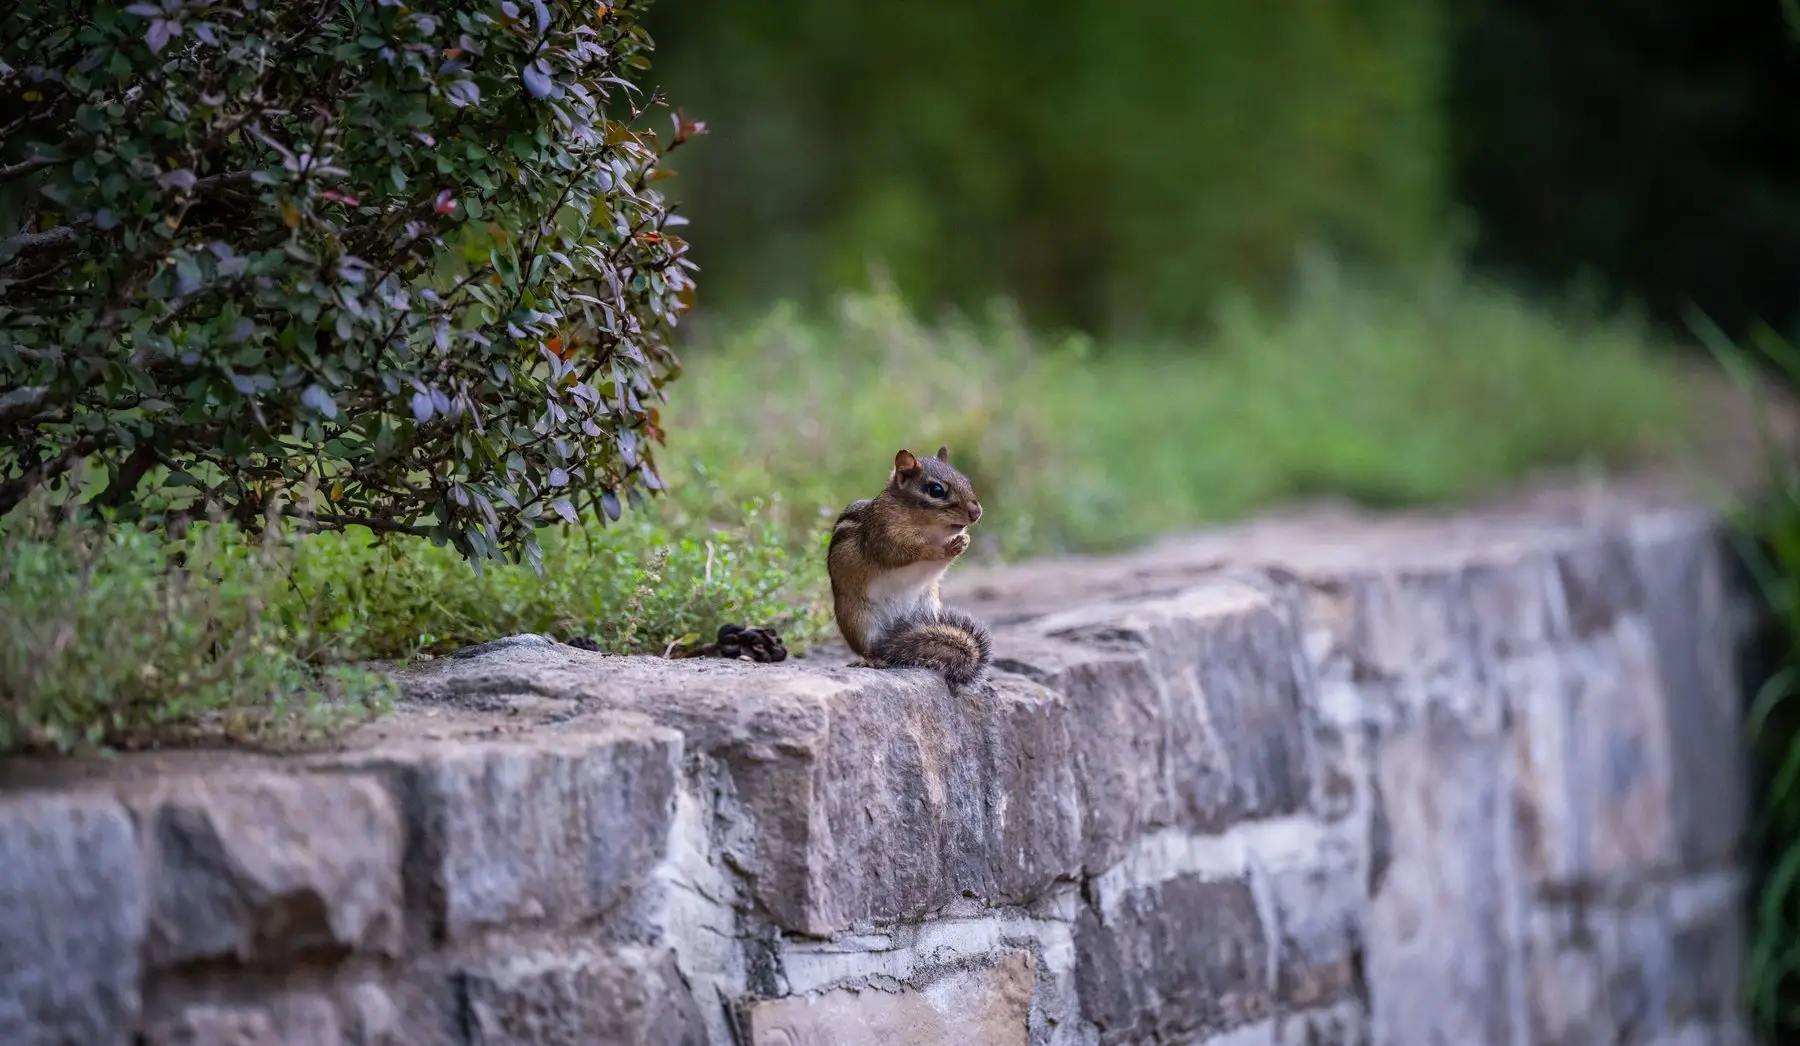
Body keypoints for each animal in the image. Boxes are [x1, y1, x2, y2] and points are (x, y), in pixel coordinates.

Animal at [827, 446, 993, 689]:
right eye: (936, 490)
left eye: (966, 480)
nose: (976, 512)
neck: (929, 528)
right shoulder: (884, 538)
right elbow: (908, 552)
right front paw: (943, 548)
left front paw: (963, 542)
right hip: (858, 619)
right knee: (868, 648)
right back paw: (873, 659)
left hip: (927, 611)